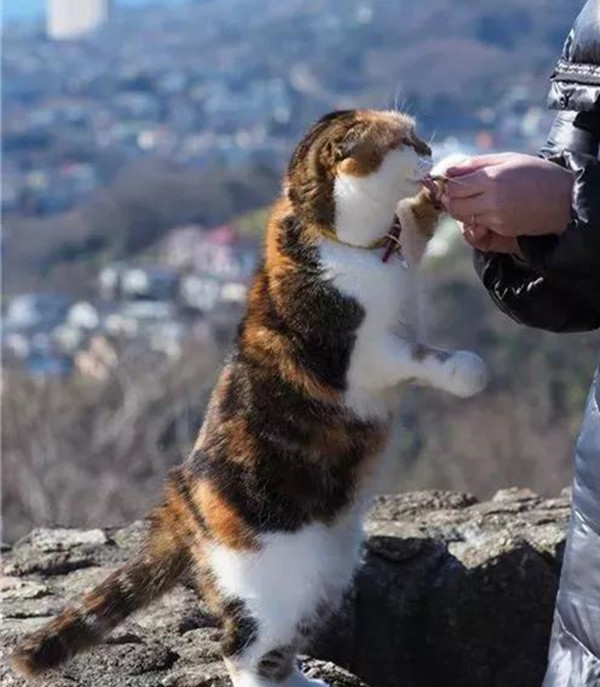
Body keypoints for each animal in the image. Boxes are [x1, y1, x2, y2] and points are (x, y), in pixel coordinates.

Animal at [11, 110, 486, 687]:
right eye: (404, 141)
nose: (431, 150)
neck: (344, 239)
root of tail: (183, 502)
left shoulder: (404, 248)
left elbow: (414, 220)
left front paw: (451, 182)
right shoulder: (363, 358)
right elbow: (419, 355)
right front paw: (467, 371)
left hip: (327, 575)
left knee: (281, 649)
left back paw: (307, 681)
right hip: (277, 581)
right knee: (241, 649)